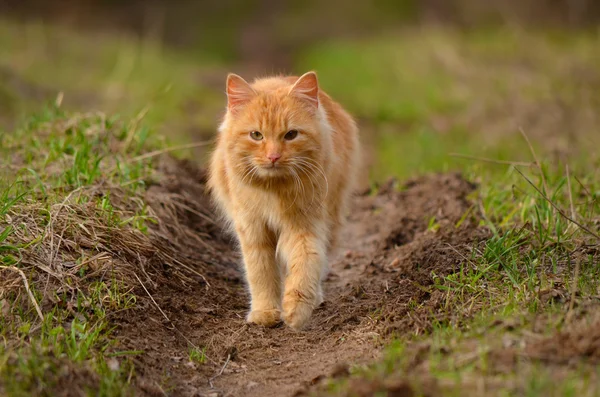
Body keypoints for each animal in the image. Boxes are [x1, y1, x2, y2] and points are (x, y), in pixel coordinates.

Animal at [207, 70, 356, 328]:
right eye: (256, 135)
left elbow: (305, 265)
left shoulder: (303, 227)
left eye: (291, 135)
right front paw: (265, 312)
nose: (273, 156)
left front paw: (295, 309)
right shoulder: (253, 229)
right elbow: (261, 273)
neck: (273, 190)